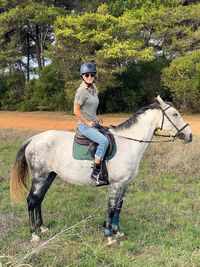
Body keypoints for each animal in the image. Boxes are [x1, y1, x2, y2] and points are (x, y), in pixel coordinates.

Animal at [9, 96, 192, 245]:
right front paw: (109, 236)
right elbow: (111, 208)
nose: (190, 136)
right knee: (32, 200)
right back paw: (34, 234)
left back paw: (42, 228)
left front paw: (117, 232)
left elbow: (118, 207)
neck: (129, 143)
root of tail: (34, 139)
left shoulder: (124, 184)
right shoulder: (116, 184)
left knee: (39, 199)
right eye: (175, 114)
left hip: (49, 176)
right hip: (39, 177)